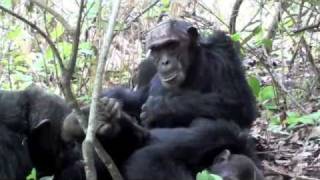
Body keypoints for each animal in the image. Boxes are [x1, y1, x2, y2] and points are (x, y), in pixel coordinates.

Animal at [101, 19, 256, 129]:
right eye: (156, 49)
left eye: (171, 45)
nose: (165, 62)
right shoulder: (147, 67)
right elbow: (140, 98)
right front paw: (112, 98)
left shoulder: (222, 51)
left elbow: (238, 104)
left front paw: (159, 109)